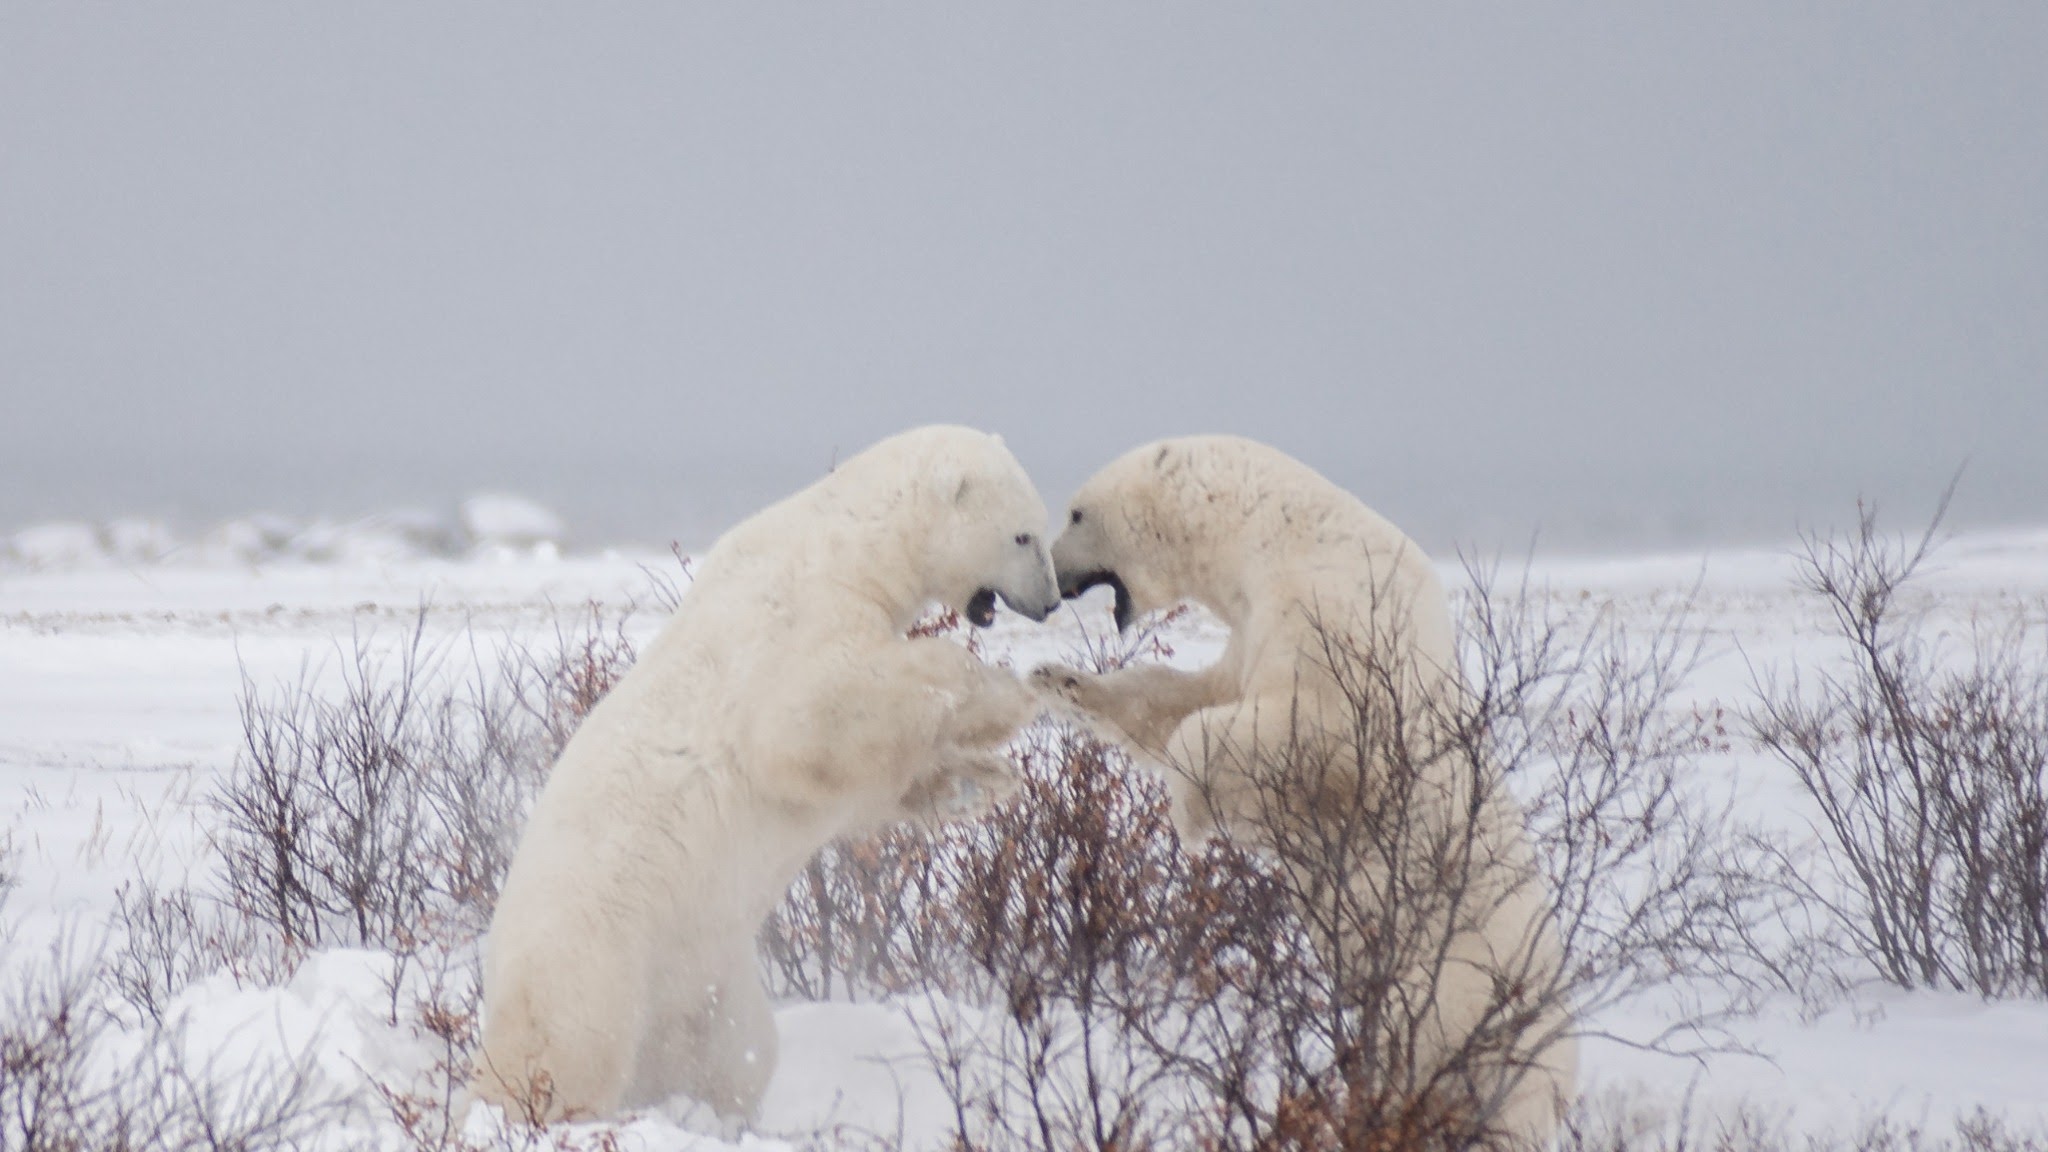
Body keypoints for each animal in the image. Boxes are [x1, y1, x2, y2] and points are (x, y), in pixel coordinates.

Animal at [473, 424, 1064, 1123]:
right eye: (1023, 535)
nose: (1051, 602)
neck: (846, 548)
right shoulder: (790, 629)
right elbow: (812, 718)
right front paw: (1005, 696)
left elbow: (868, 785)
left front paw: (987, 779)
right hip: (591, 954)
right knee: (566, 1050)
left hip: (711, 981)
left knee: (738, 1054)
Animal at [1032, 434, 1572, 1139]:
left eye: (1075, 514)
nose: (1050, 572)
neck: (1277, 535)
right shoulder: (1253, 627)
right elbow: (1180, 699)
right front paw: (1055, 680)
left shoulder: (1334, 617)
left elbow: (1302, 733)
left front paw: (1190, 814)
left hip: (1461, 985)